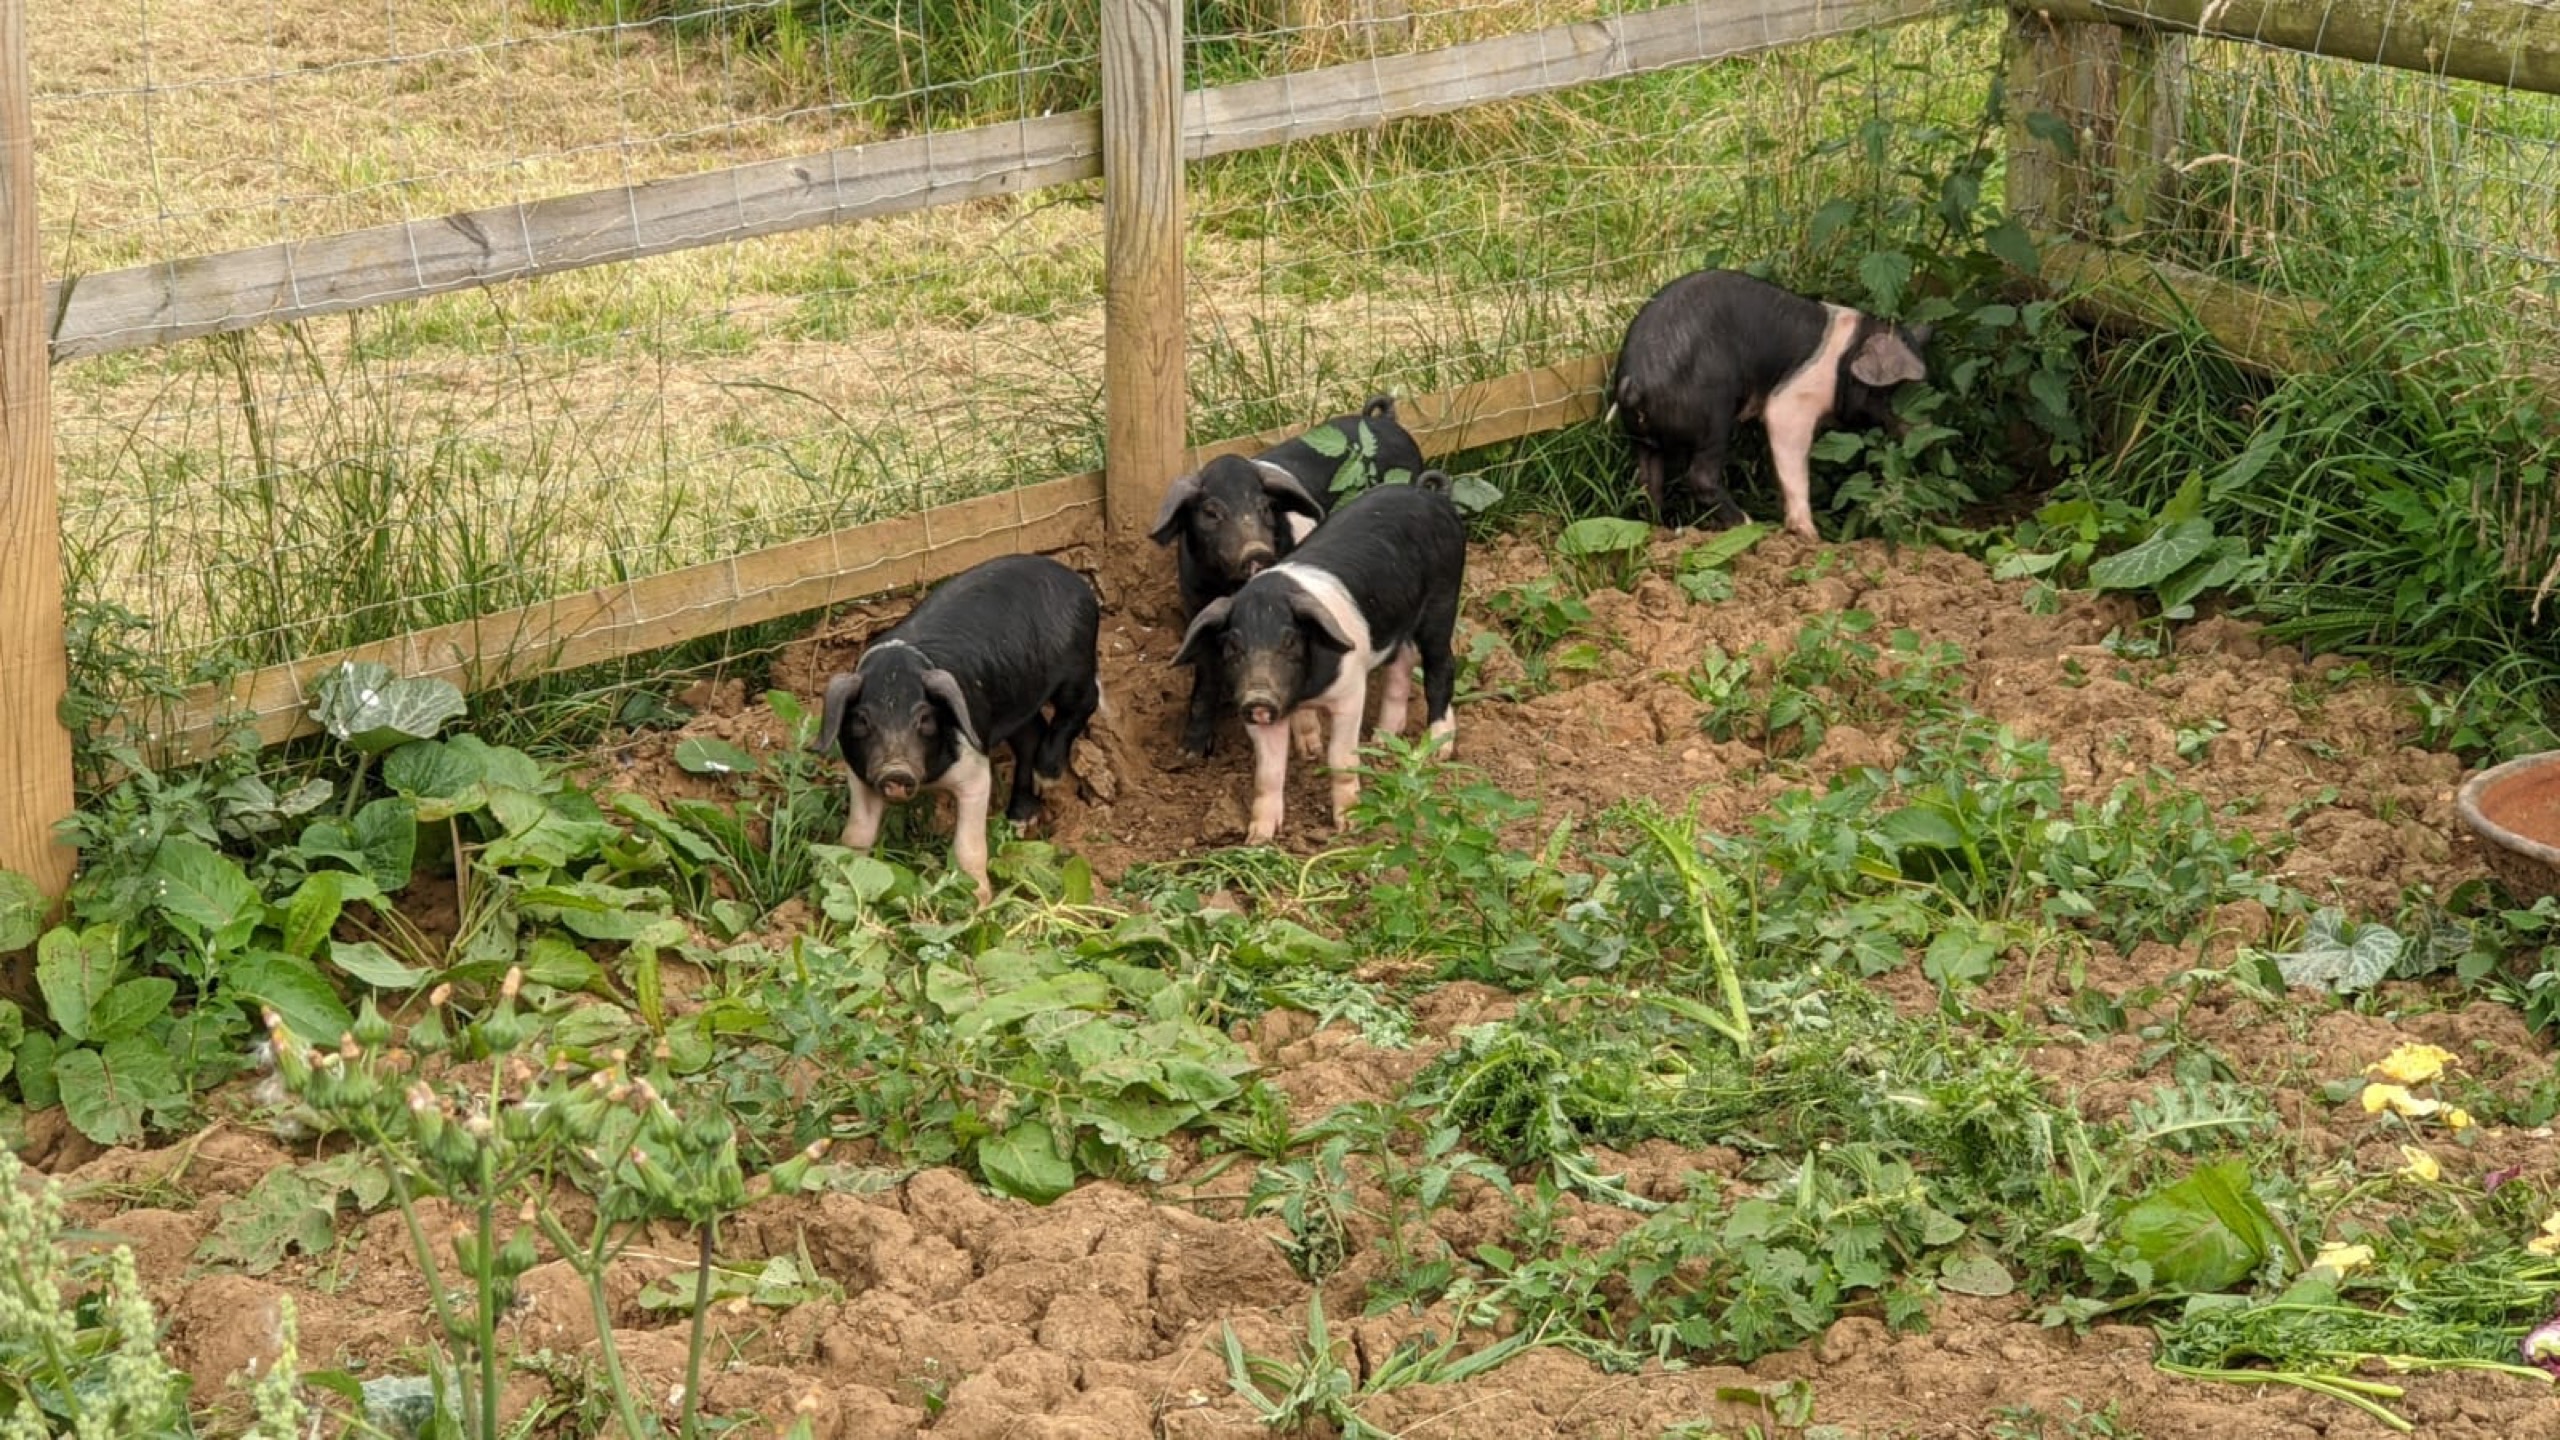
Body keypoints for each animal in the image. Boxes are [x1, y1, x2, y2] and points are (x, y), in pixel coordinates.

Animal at [809, 554, 1101, 905]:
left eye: (925, 719)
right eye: (863, 720)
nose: (896, 771)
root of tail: (1073, 579)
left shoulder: (975, 767)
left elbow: (968, 846)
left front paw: (979, 903)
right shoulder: (861, 773)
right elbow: (856, 834)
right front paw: (848, 880)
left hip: (1077, 667)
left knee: (1083, 704)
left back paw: (1048, 778)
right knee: (1031, 734)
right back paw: (1019, 820)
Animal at [1150, 395, 1427, 759]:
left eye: (1265, 506)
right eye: (1211, 512)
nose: (1255, 550)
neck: (1228, 585)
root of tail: (1387, 422)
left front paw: (1310, 750)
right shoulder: (1196, 606)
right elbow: (1205, 680)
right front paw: (1189, 754)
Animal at [1170, 473, 1466, 844]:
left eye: (1290, 641)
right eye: (1232, 646)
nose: (1258, 697)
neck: (1303, 691)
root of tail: (1433, 495)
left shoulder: (1351, 690)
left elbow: (1340, 757)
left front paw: (1349, 826)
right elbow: (1268, 773)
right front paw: (1257, 840)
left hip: (1444, 598)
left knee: (1441, 667)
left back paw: (1436, 749)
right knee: (1402, 661)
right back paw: (1382, 739)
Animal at [1611, 268, 1932, 540]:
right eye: (1894, 390)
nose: (1918, 434)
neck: (1845, 357)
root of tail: (1634, 382)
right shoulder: (1791, 401)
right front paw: (1810, 537)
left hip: (1643, 439)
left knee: (1646, 483)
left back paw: (1659, 530)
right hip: (1714, 416)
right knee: (1700, 477)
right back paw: (1750, 525)